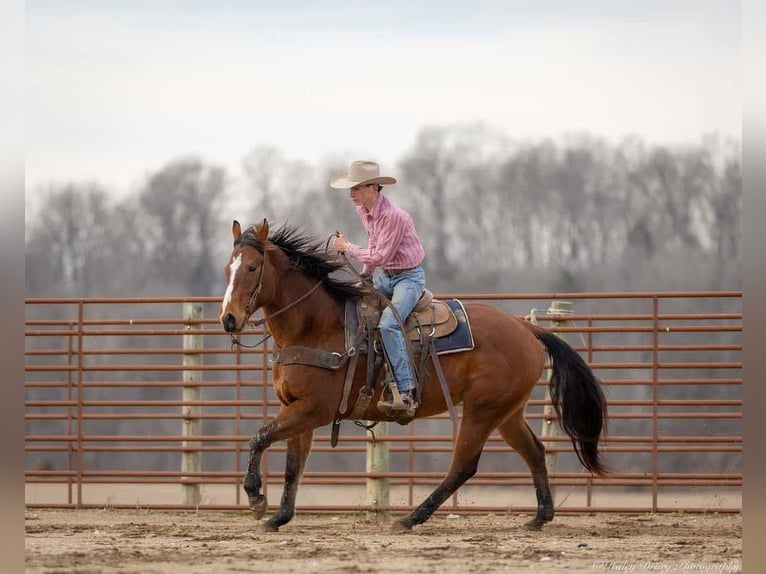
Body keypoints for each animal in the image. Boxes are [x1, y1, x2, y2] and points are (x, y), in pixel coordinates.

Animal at [219, 220, 608, 536]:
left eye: (252, 266)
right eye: (228, 268)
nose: (228, 319)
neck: (317, 328)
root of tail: (524, 327)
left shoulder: (314, 409)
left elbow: (259, 438)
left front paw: (256, 499)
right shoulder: (297, 408)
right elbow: (292, 465)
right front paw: (278, 516)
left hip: (482, 411)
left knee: (463, 465)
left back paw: (410, 518)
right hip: (507, 413)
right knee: (534, 451)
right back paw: (540, 516)